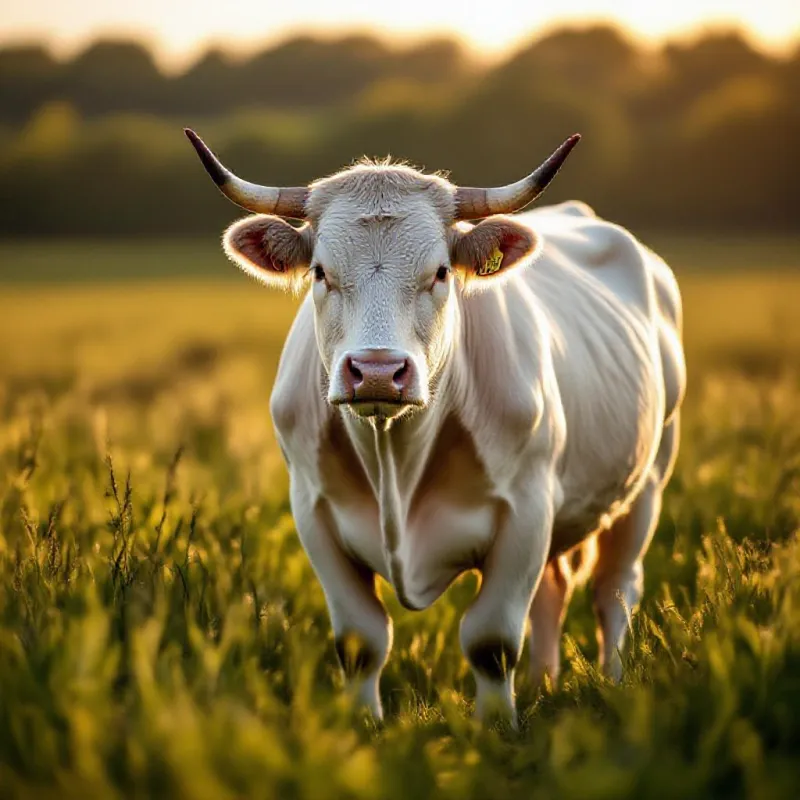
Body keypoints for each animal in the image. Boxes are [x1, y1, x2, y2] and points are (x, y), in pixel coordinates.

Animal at [186, 129, 686, 726]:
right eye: (320, 272)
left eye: (441, 272)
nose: (377, 370)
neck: (395, 462)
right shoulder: (313, 512)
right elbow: (361, 641)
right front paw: (363, 725)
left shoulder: (527, 510)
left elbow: (492, 641)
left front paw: (496, 729)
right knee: (555, 589)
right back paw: (542, 682)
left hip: (647, 484)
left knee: (614, 592)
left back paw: (612, 683)